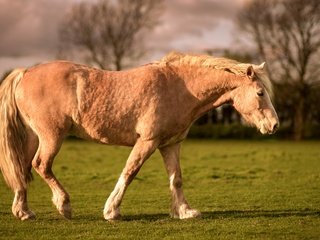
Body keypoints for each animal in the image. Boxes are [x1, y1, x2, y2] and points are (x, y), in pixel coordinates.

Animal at [0, 52, 278, 221]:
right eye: (260, 92)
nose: (274, 125)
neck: (179, 87)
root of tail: (25, 73)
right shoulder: (147, 142)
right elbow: (129, 172)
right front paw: (112, 211)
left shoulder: (170, 144)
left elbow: (176, 179)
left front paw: (185, 211)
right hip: (52, 136)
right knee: (40, 165)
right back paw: (64, 205)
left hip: (35, 137)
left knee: (23, 168)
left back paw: (23, 212)